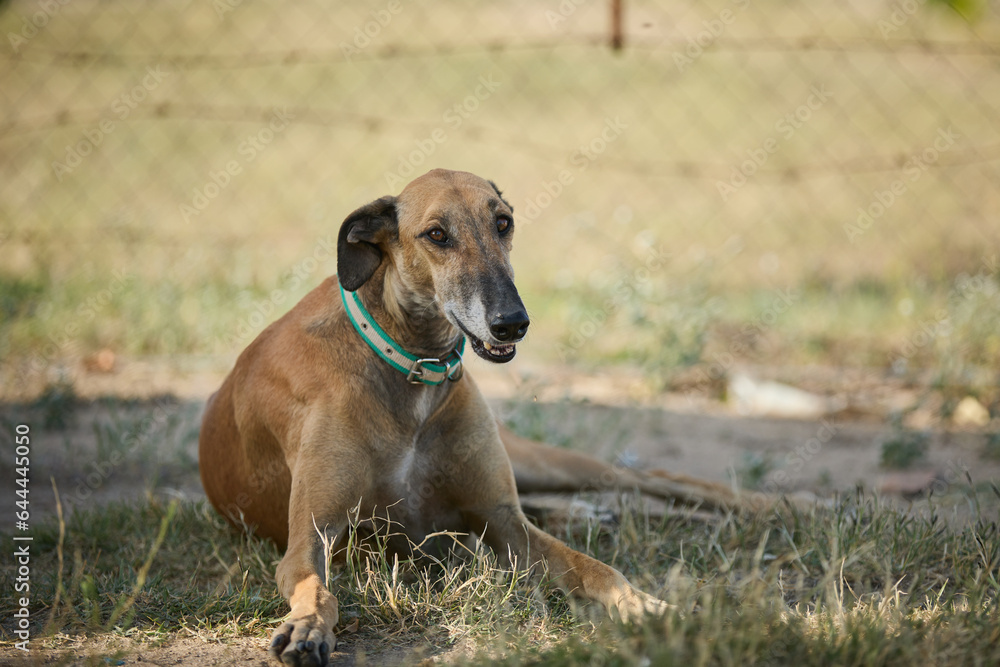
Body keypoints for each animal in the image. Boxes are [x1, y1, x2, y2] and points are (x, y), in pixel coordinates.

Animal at [199, 170, 752, 664]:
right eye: (436, 234)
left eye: (503, 223)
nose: (512, 323)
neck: (410, 363)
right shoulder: (312, 538)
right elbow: (316, 587)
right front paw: (307, 627)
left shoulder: (505, 523)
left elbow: (595, 567)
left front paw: (650, 607)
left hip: (540, 462)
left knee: (650, 479)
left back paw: (763, 505)